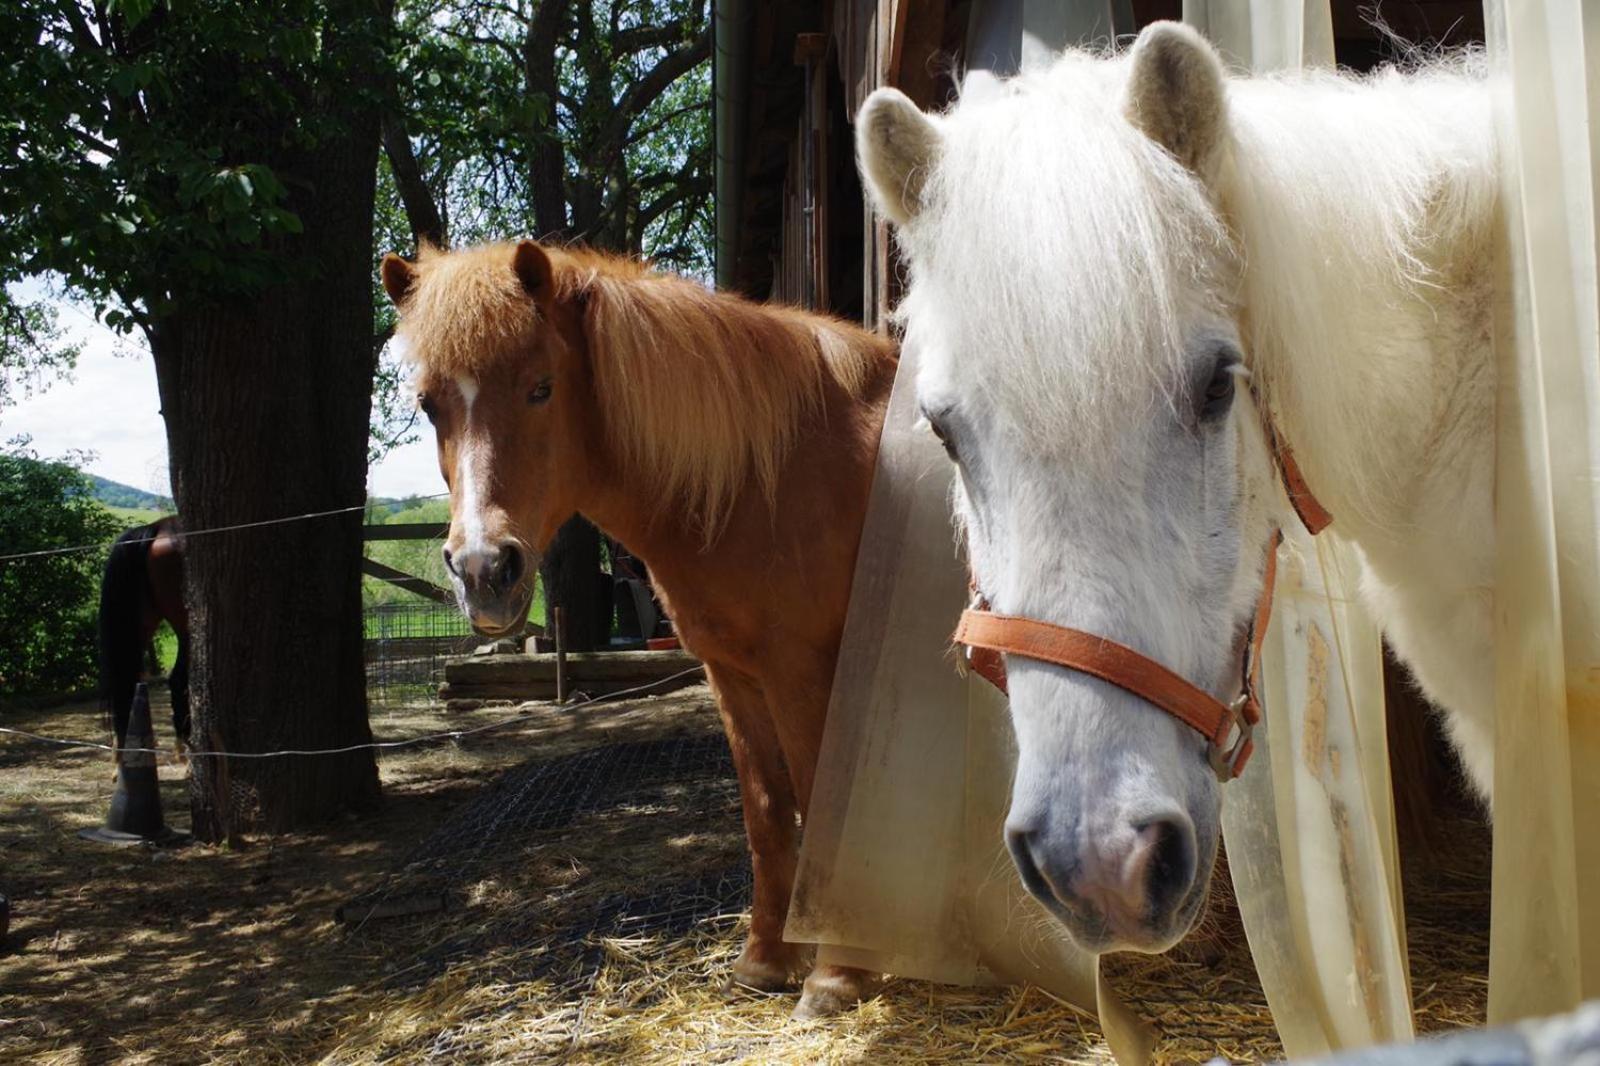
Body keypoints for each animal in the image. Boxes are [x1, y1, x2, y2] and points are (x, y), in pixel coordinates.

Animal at [377, 238, 902, 1011]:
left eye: (541, 388)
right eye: (428, 404)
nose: (482, 570)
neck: (768, 473)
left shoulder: (803, 669)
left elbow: (821, 802)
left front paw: (835, 976)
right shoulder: (734, 673)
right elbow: (768, 809)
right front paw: (764, 961)